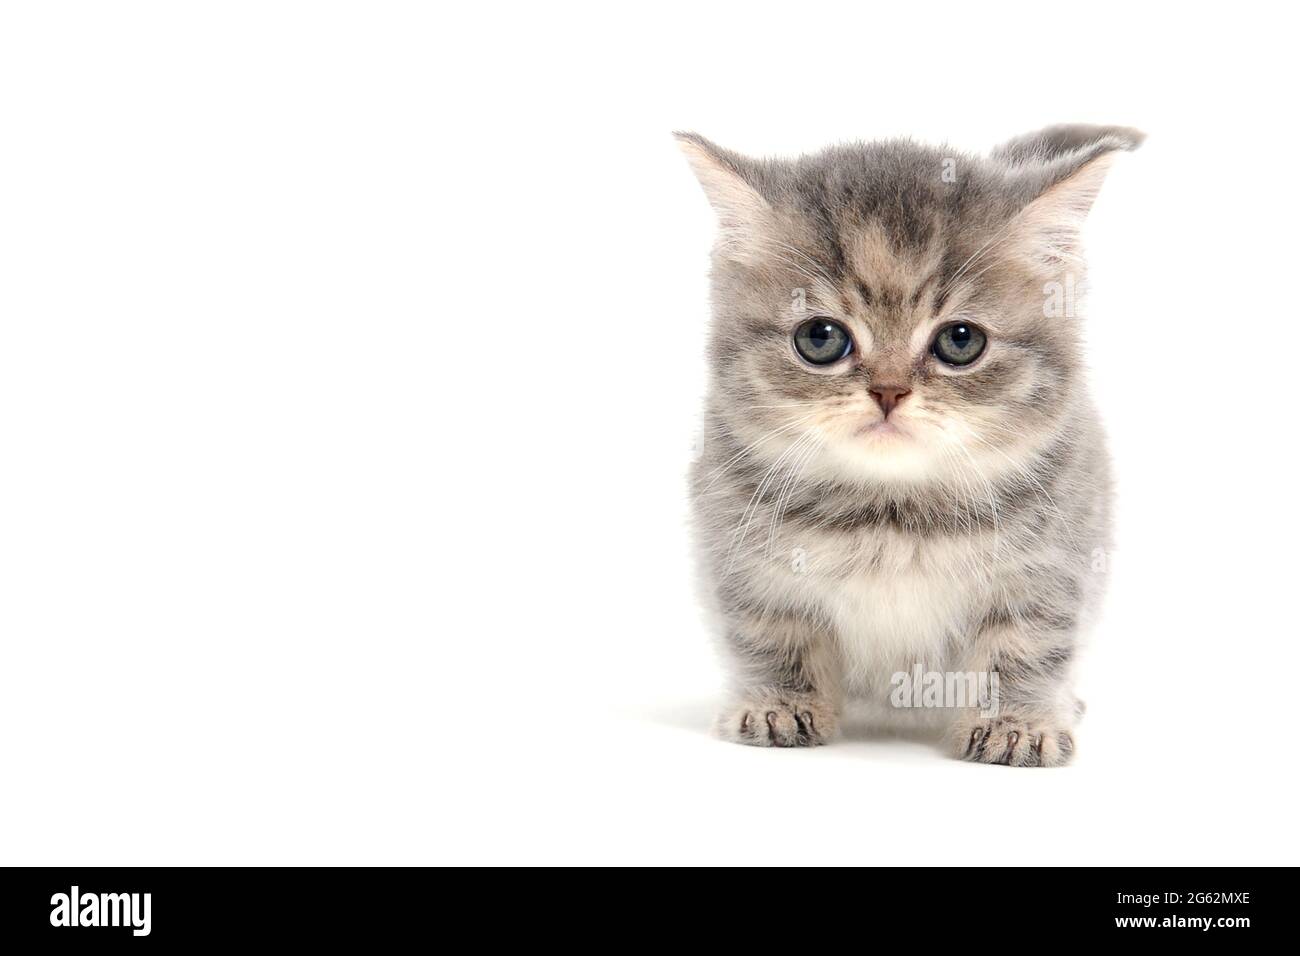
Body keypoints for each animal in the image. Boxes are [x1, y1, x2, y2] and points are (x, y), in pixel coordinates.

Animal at [676, 125, 1144, 770]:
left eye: (961, 340)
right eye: (820, 338)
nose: (889, 391)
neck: (892, 513)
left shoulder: (1053, 562)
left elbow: (1026, 644)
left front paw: (1016, 723)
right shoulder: (742, 559)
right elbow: (769, 634)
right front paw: (779, 705)